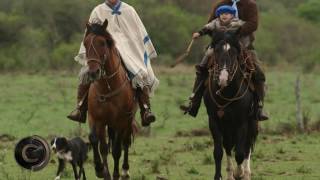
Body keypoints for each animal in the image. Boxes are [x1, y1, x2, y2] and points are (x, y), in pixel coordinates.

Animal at [83, 19, 137, 180]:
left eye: (102, 43)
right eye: (85, 44)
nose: (93, 72)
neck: (108, 87)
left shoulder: (120, 121)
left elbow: (117, 149)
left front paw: (116, 173)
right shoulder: (96, 119)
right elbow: (97, 142)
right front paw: (100, 169)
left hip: (127, 121)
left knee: (125, 142)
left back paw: (125, 171)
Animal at [204, 32, 258, 180]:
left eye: (234, 54)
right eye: (217, 51)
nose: (223, 78)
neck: (226, 94)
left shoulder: (242, 123)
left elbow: (240, 152)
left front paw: (239, 173)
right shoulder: (214, 121)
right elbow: (218, 152)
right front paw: (219, 176)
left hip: (251, 123)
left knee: (247, 147)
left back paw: (246, 173)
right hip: (227, 128)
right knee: (228, 146)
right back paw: (230, 173)